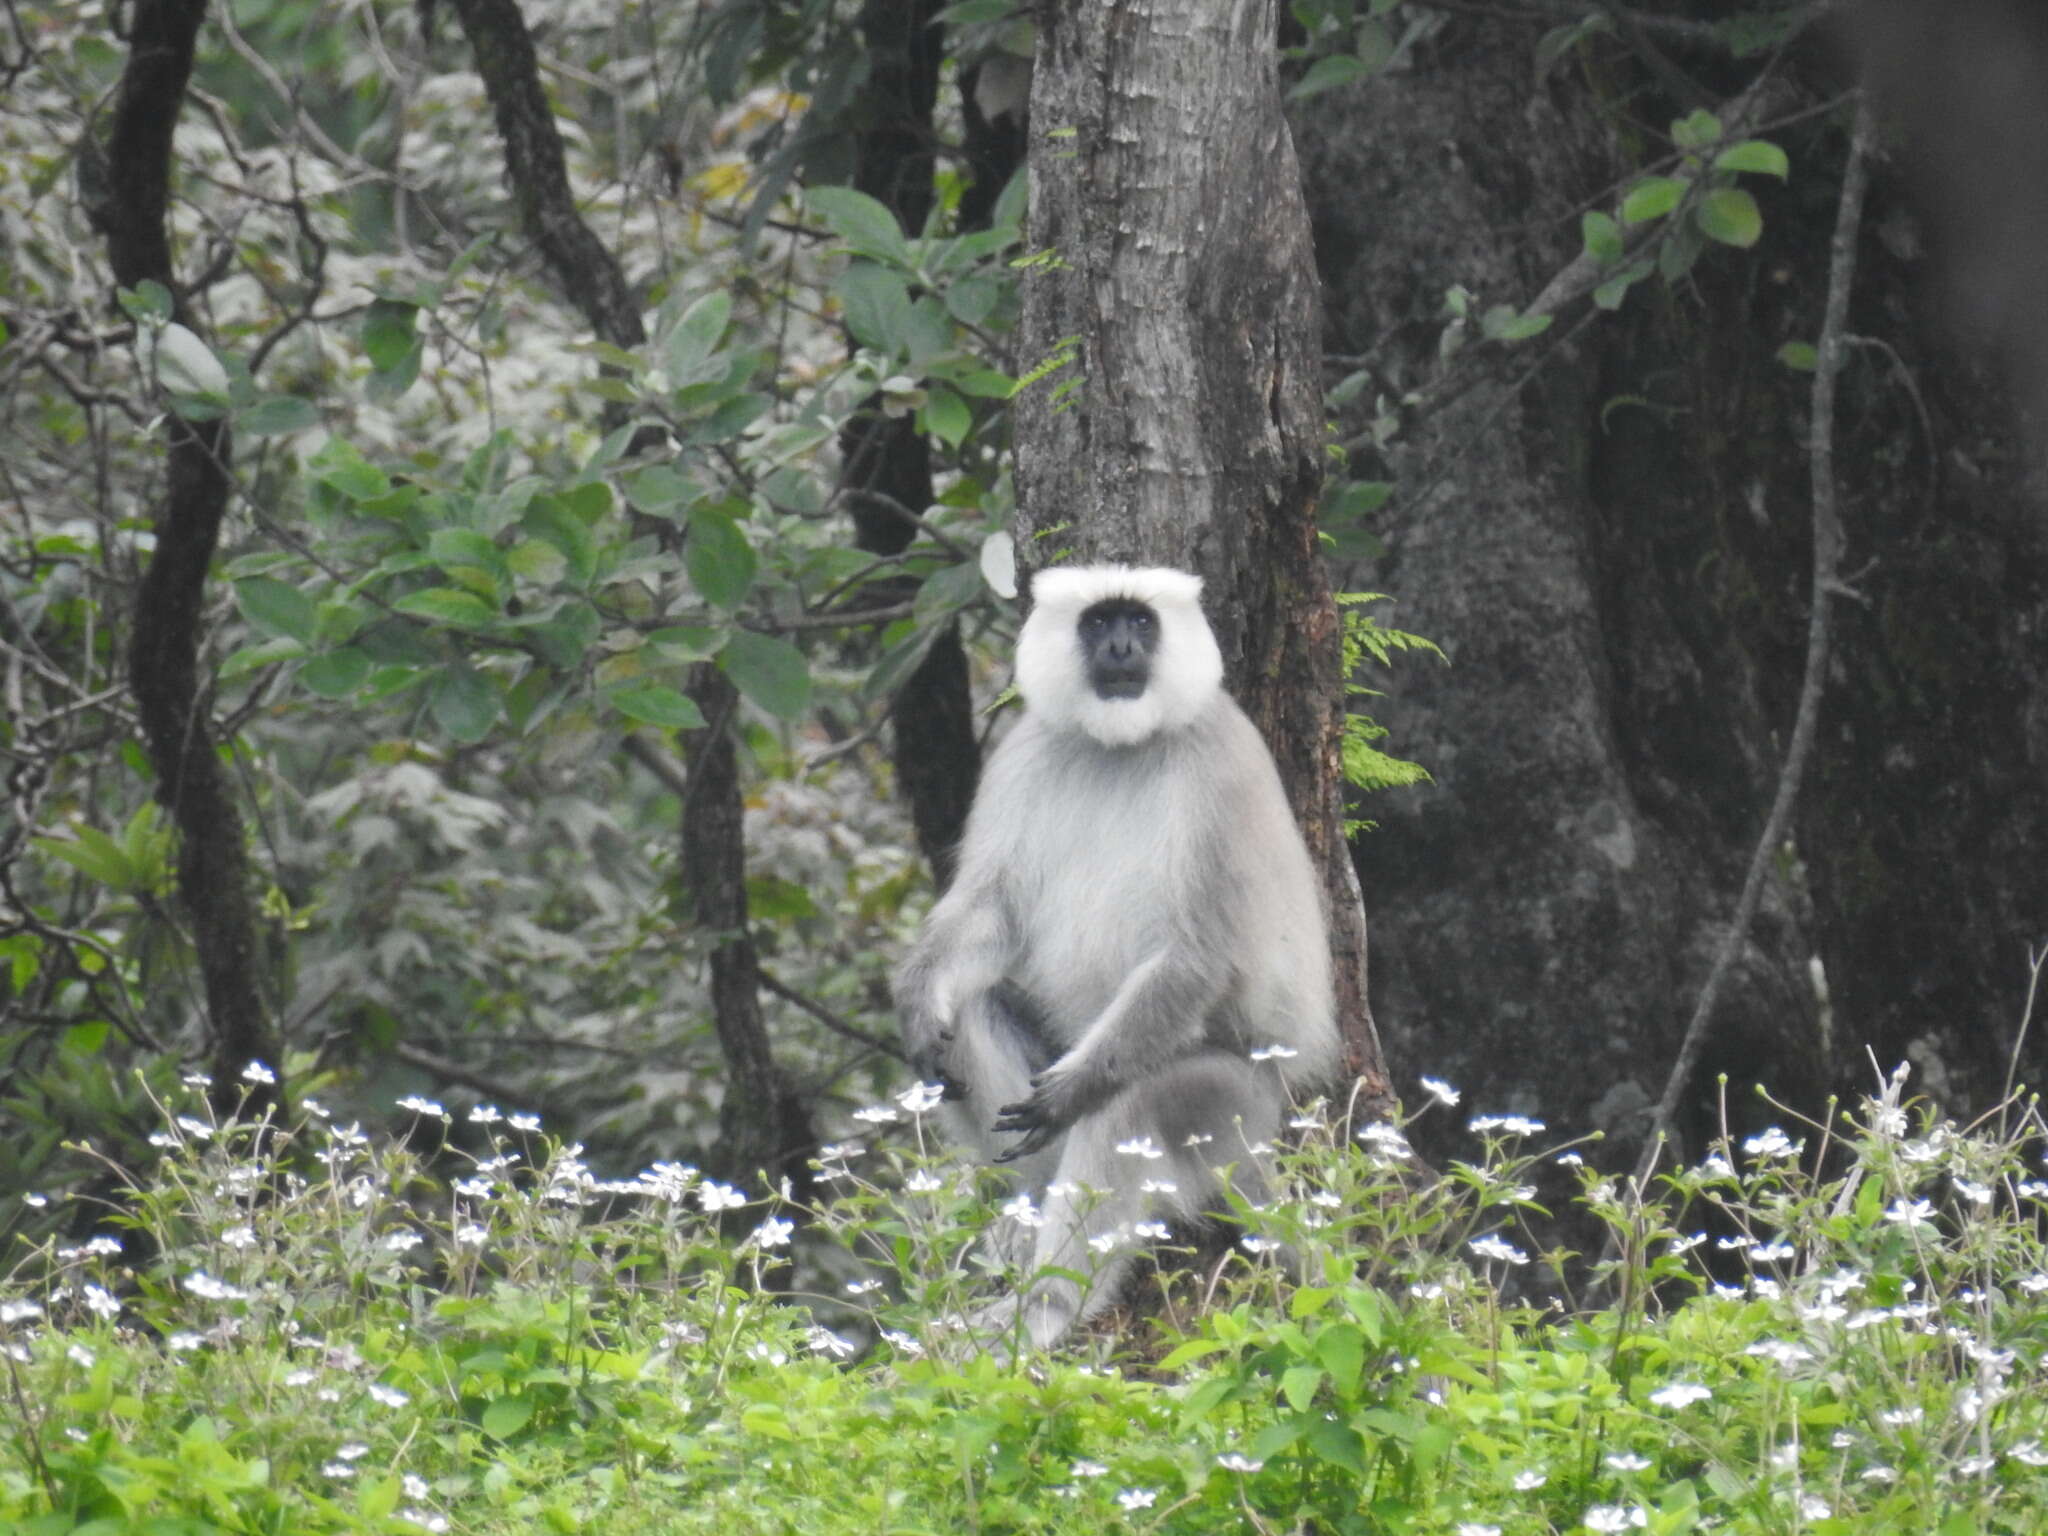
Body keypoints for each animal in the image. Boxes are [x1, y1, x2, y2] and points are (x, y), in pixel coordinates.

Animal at [897, 561, 1343, 1343]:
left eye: (1140, 622)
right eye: (1099, 622)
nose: (1120, 651)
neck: (1120, 746)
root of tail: (1260, 1139)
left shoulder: (1219, 764)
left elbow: (1196, 957)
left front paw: (1074, 1092)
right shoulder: (1026, 751)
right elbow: (991, 910)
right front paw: (919, 1000)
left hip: (1232, 1100)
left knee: (1129, 1106)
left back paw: (1049, 1304)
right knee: (977, 1006)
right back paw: (1025, 1219)